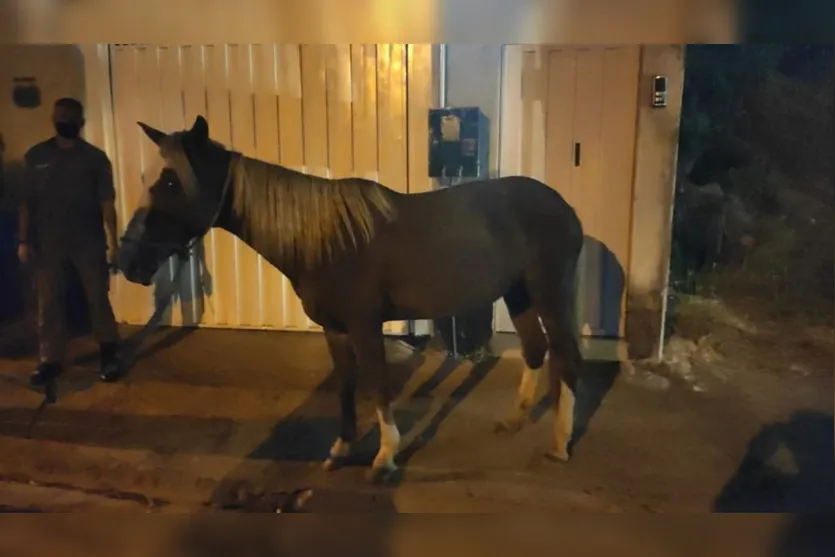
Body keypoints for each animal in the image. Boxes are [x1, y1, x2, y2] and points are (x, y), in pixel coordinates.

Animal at [117, 116, 584, 482]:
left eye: (172, 181)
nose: (127, 261)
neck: (327, 238)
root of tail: (565, 207)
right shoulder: (335, 328)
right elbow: (345, 384)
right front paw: (341, 449)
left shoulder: (364, 325)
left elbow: (377, 383)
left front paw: (385, 456)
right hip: (518, 293)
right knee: (535, 349)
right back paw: (515, 419)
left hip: (549, 292)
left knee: (566, 357)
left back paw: (560, 443)